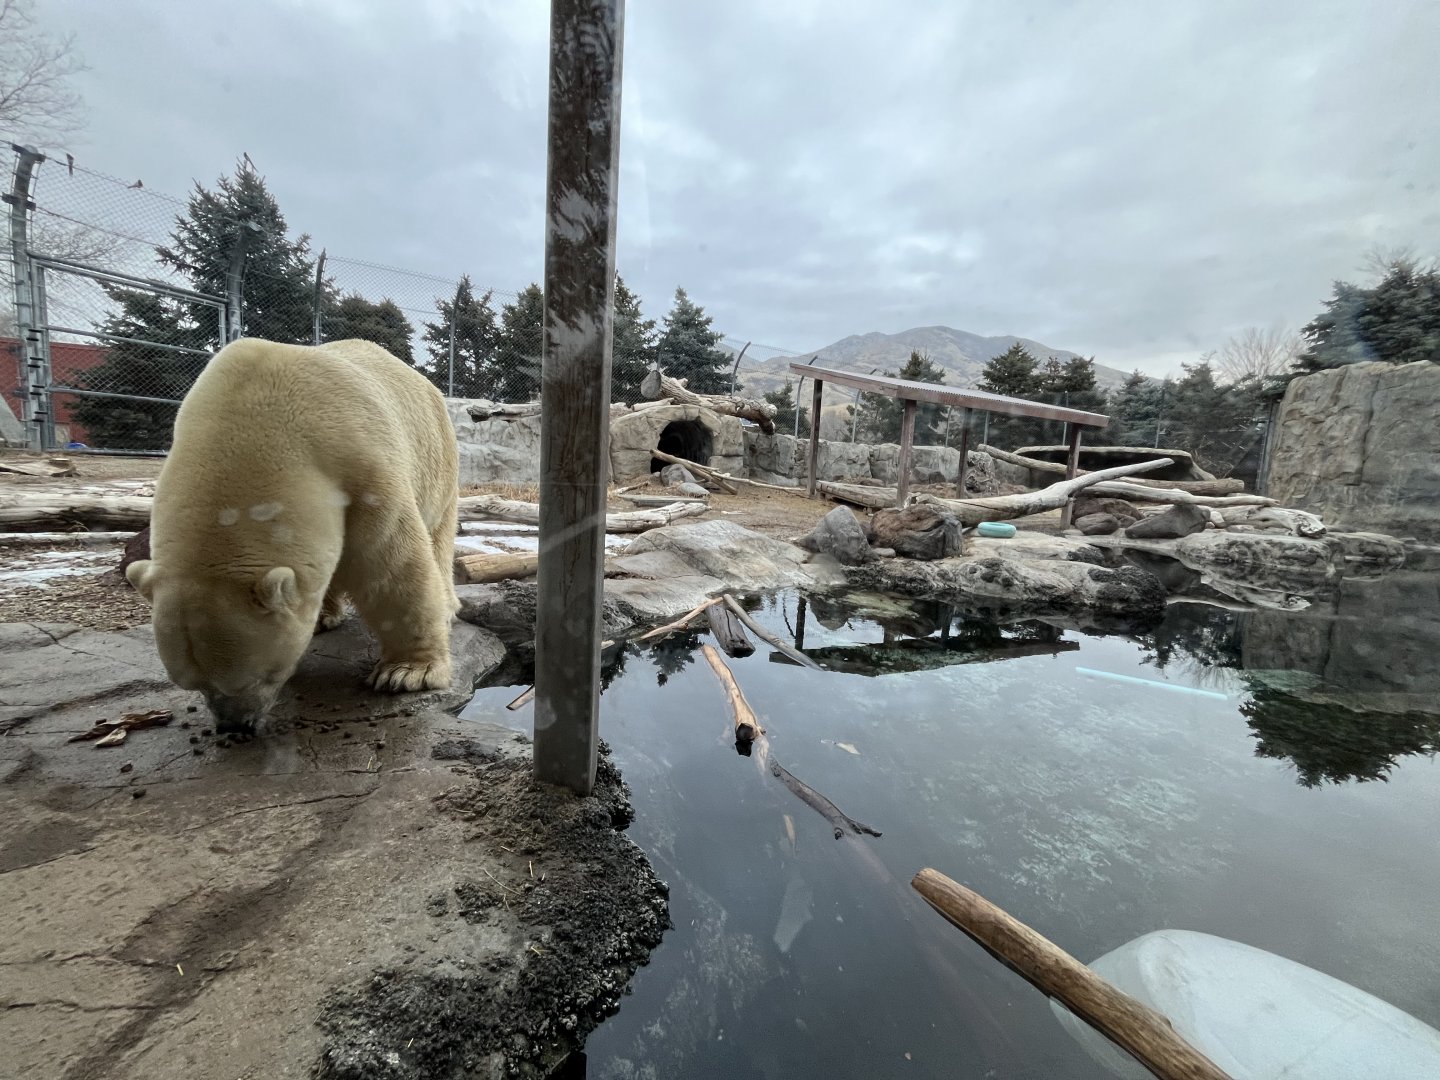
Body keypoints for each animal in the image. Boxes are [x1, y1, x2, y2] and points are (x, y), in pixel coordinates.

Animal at [126, 337, 460, 733]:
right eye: (191, 684)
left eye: (256, 676)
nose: (234, 725)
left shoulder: (363, 467)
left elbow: (390, 564)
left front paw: (407, 673)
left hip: (437, 455)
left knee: (438, 534)